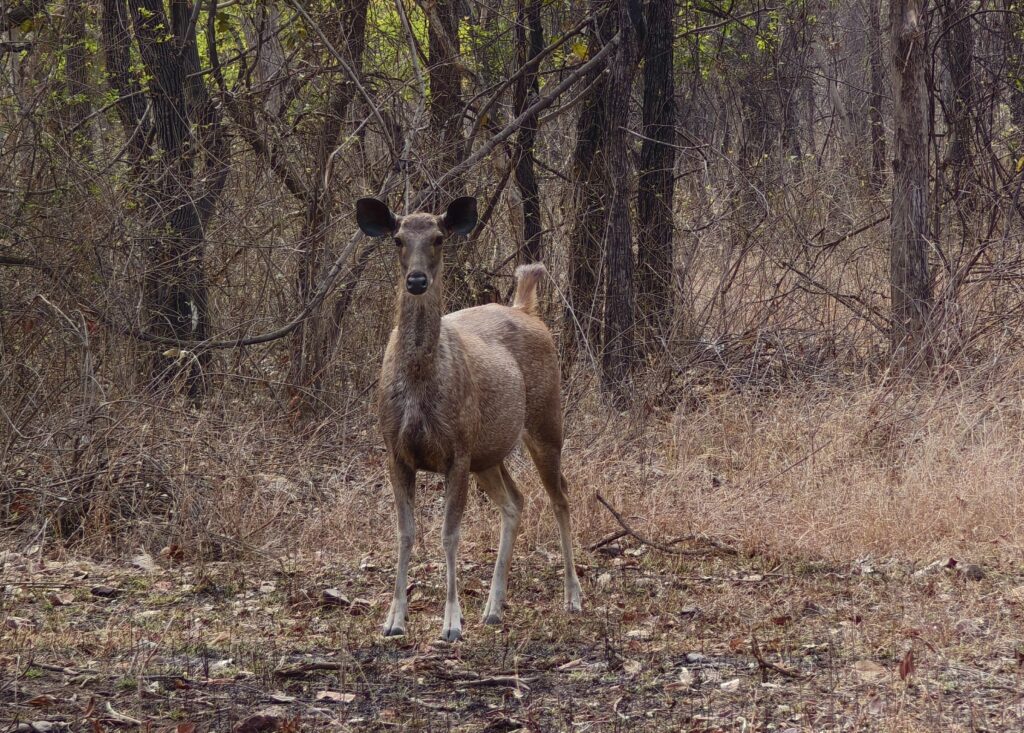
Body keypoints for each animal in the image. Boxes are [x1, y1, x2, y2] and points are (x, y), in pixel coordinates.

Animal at [356, 195, 583, 642]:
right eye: (397, 239)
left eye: (439, 238)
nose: (417, 280)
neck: (421, 383)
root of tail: (527, 309)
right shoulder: (396, 451)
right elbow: (405, 533)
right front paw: (394, 620)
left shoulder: (456, 451)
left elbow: (449, 535)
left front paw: (451, 622)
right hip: (488, 452)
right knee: (515, 501)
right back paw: (493, 608)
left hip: (546, 421)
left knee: (561, 496)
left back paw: (572, 597)